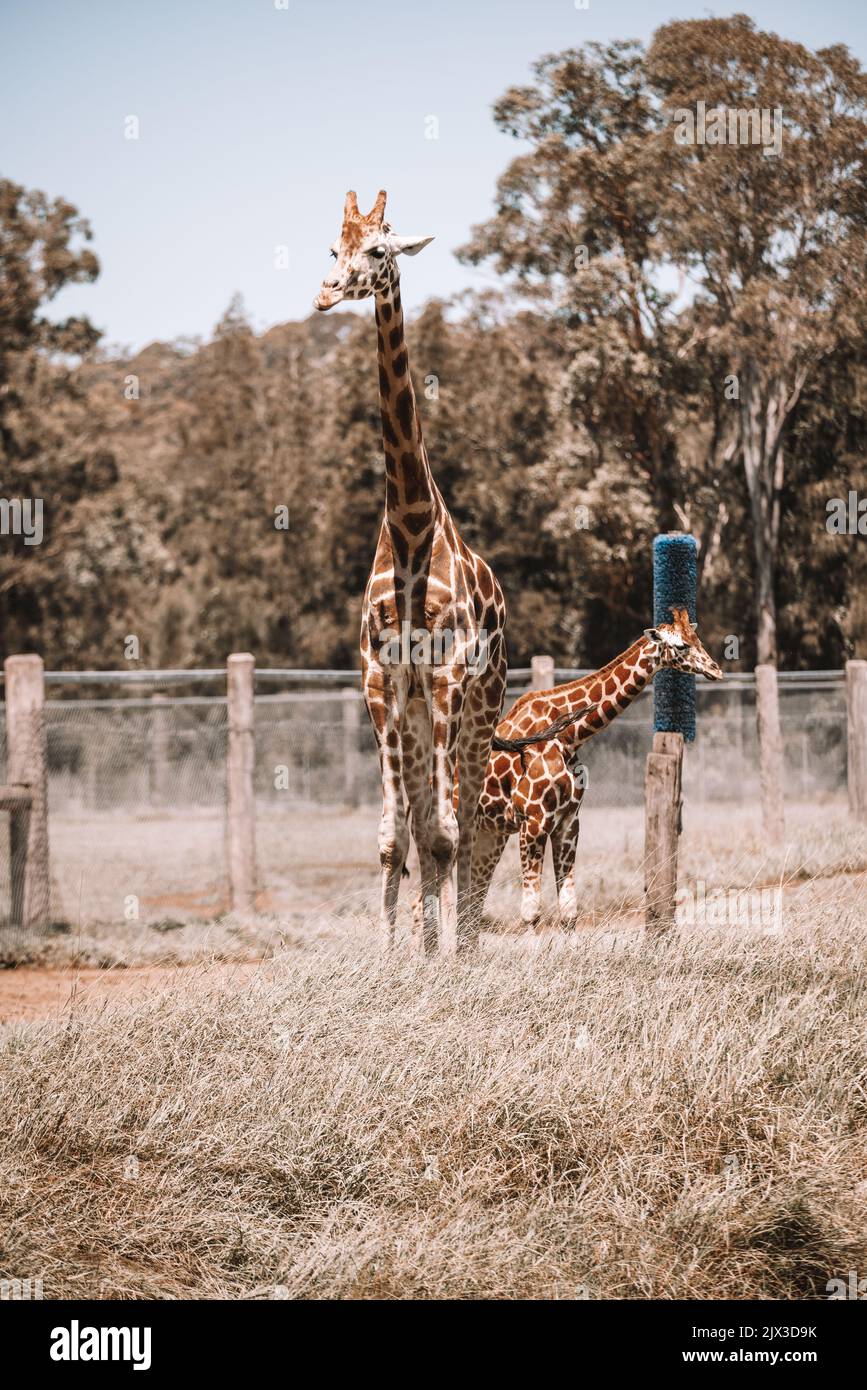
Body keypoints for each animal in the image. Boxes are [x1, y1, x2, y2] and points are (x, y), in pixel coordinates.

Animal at [314, 189, 512, 954]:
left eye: (378, 250)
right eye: (330, 248)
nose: (324, 292)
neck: (408, 532)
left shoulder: (449, 671)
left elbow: (449, 832)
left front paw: (448, 956)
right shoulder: (382, 675)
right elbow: (395, 836)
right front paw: (398, 957)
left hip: (481, 702)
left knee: (474, 820)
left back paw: (468, 944)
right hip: (423, 710)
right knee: (428, 822)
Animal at [472, 608, 723, 932]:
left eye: (697, 638)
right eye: (681, 645)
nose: (716, 670)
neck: (569, 736)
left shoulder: (568, 822)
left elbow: (569, 911)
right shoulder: (533, 821)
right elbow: (531, 913)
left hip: (489, 832)